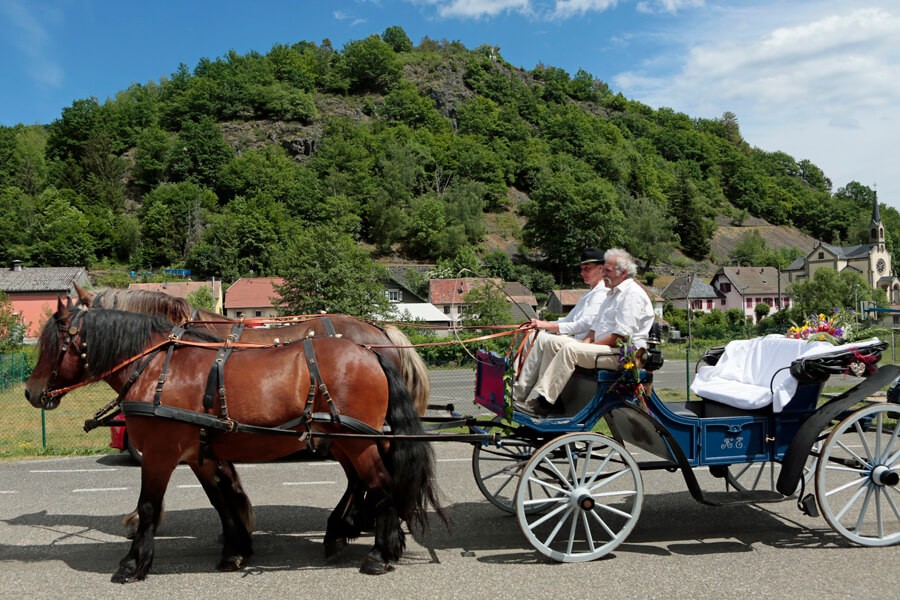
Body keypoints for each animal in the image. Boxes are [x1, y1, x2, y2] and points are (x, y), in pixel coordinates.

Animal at [21, 300, 442, 580]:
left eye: (54, 345)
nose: (31, 392)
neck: (157, 367)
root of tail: (371, 351)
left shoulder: (159, 453)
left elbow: (148, 506)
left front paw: (133, 562)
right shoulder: (201, 452)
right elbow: (223, 500)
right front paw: (235, 549)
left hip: (355, 441)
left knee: (381, 484)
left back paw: (377, 552)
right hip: (351, 439)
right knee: (371, 482)